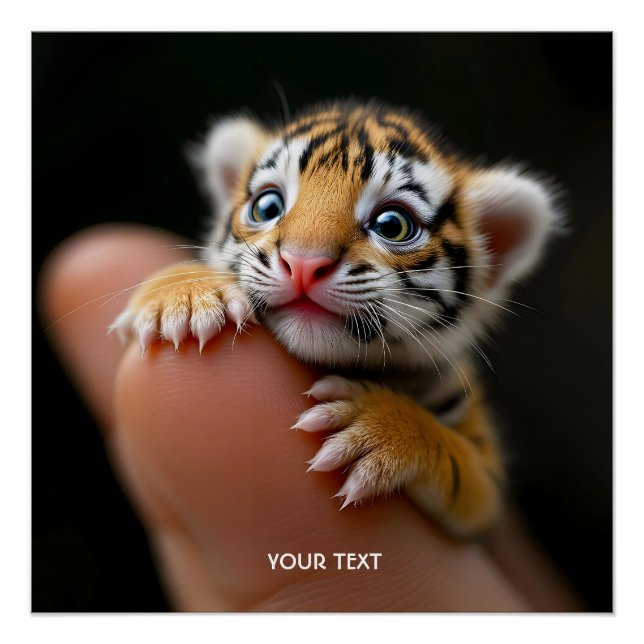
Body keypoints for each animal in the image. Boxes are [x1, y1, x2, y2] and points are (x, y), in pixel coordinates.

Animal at [111, 99, 559, 537]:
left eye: (392, 225)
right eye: (267, 206)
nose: (303, 263)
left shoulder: (488, 487)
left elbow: (460, 466)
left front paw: (380, 431)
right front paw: (185, 294)